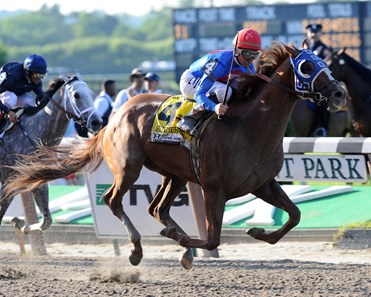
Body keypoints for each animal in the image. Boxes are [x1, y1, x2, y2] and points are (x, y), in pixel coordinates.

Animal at [0, 74, 101, 234]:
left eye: (91, 93)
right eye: (76, 95)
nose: (97, 122)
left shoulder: (36, 178)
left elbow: (46, 221)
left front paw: (19, 223)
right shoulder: (7, 182)